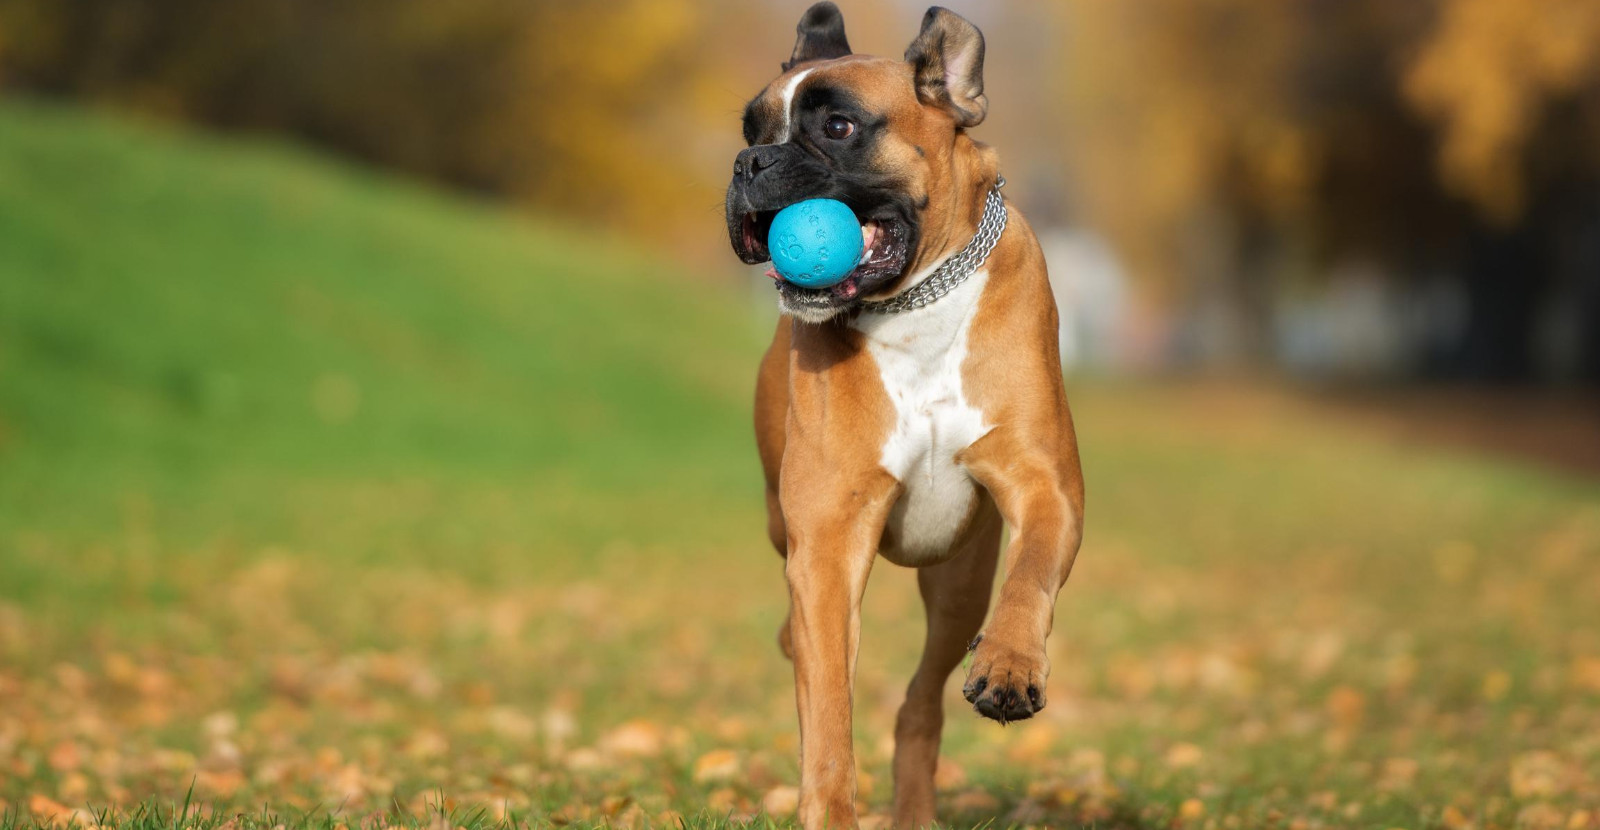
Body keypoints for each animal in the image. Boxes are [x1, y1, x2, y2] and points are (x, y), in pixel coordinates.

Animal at [729, 3, 1088, 825]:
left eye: (837, 127)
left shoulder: (1046, 487)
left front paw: (1011, 662)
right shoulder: (826, 546)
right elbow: (829, 717)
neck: (915, 302)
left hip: (956, 585)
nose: (747, 164)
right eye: (750, 128)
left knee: (920, 703)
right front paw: (828, 808)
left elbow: (1032, 572)